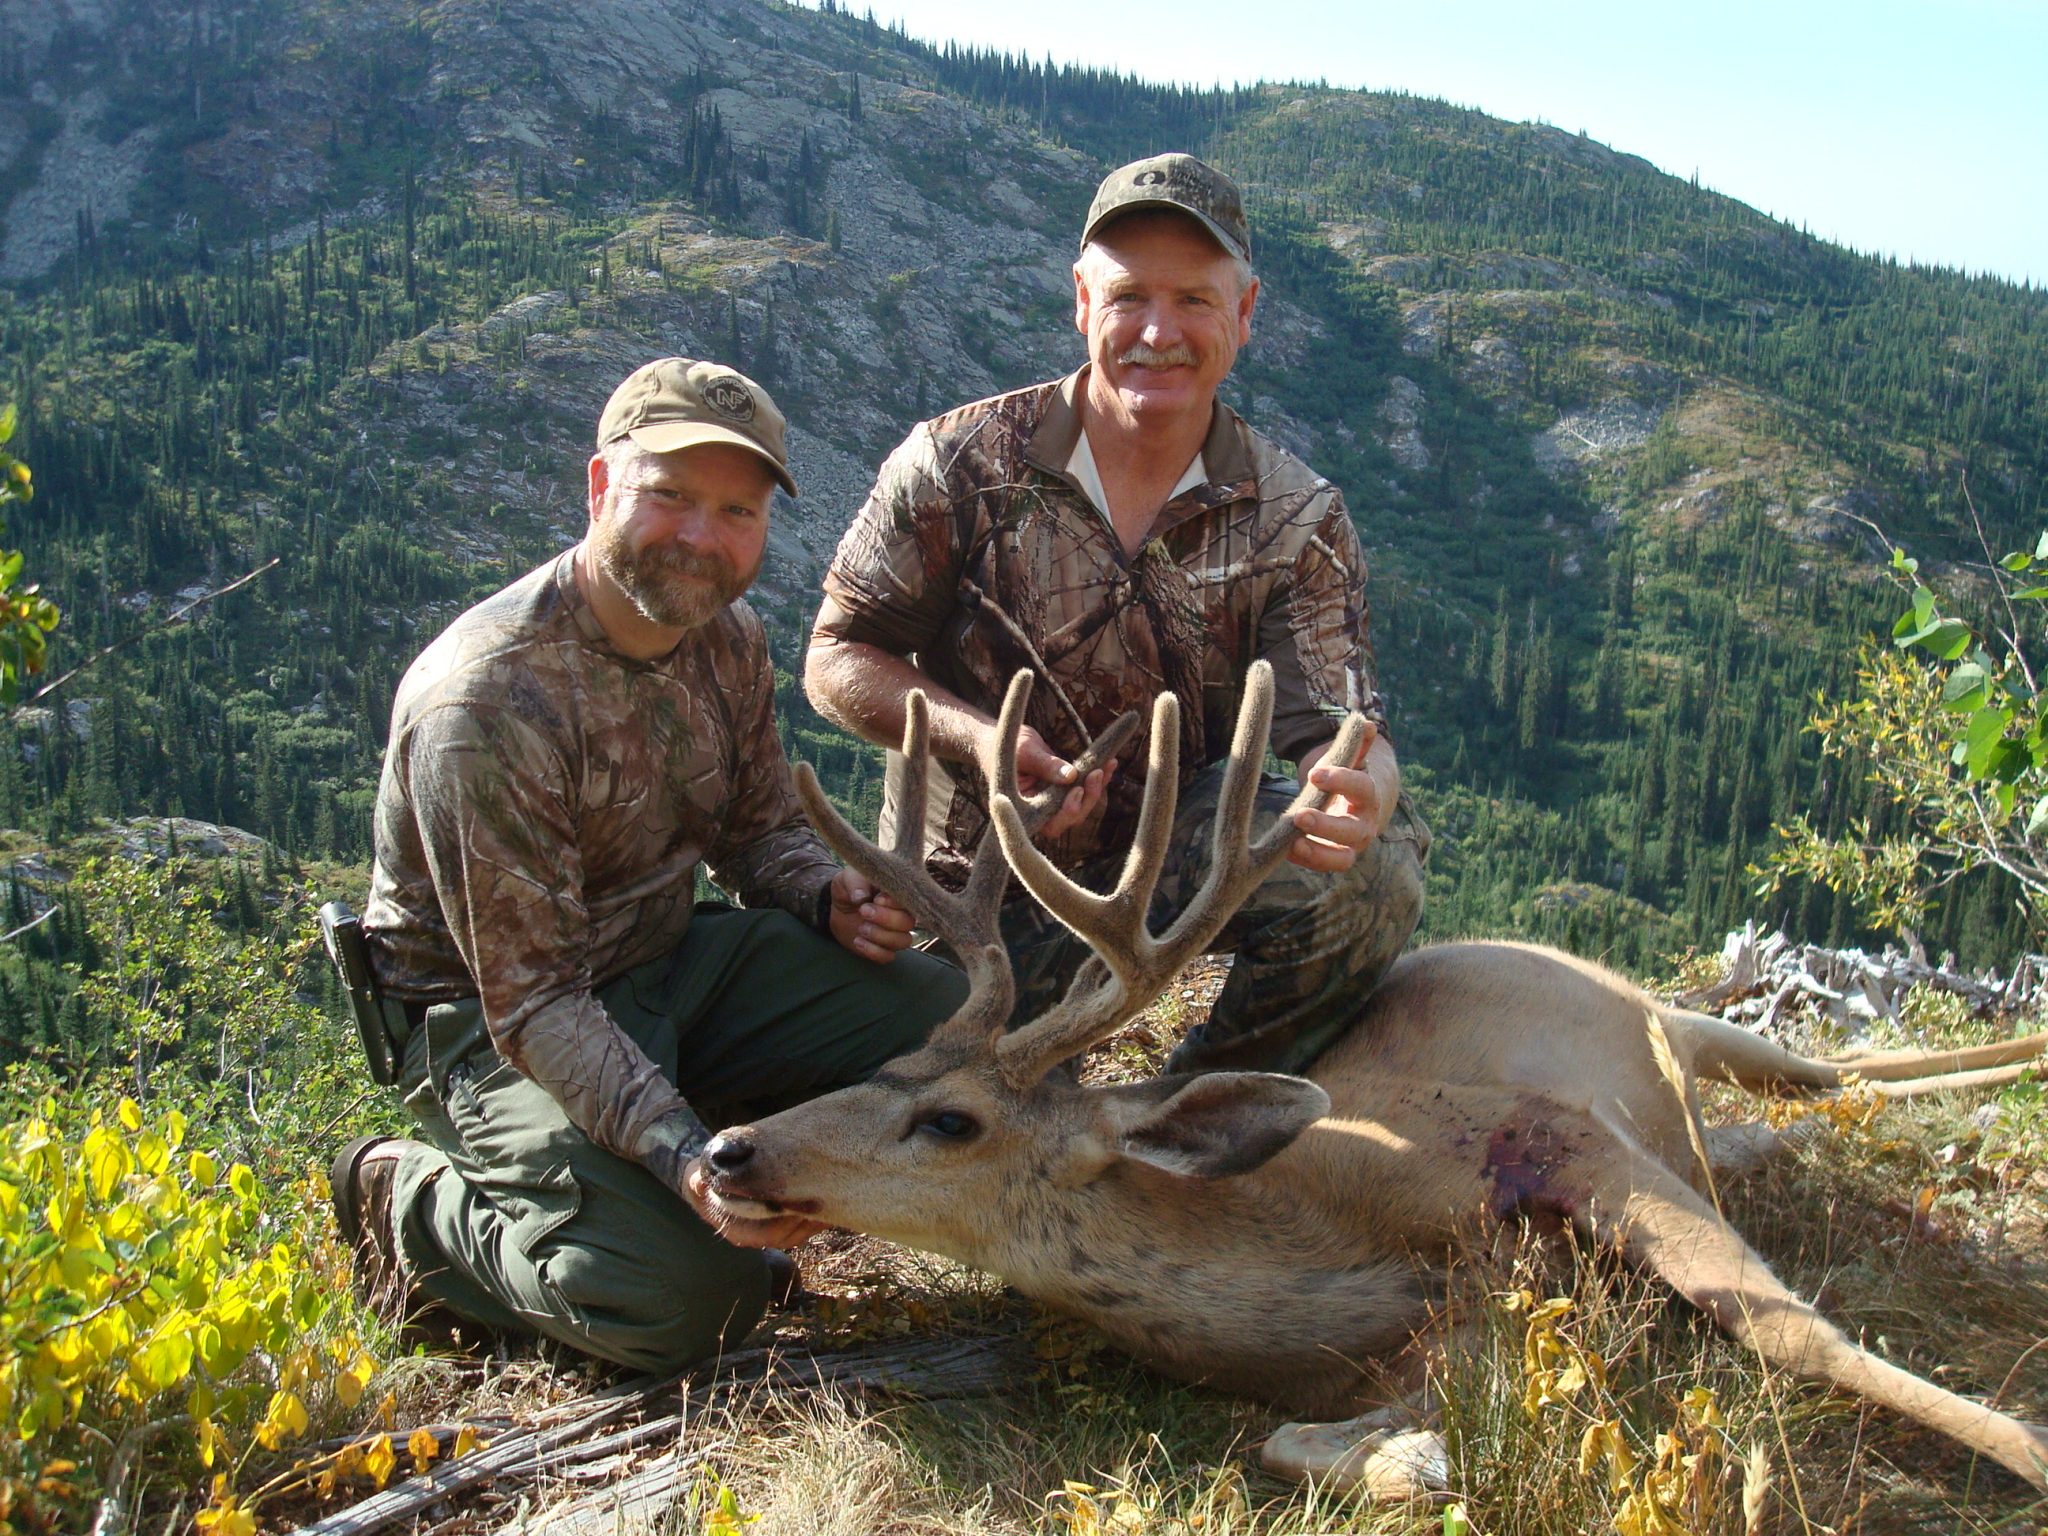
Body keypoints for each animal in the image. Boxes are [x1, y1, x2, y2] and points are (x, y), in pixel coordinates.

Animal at [700, 667, 2048, 1499]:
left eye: (950, 1119)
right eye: (882, 1065)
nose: (729, 1151)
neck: (1327, 1258)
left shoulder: (1548, 1128)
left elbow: (1792, 1331)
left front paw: (2025, 1451)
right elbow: (1296, 1447)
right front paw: (1423, 1463)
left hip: (1690, 1025)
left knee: (1844, 1067)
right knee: (1791, 1115)